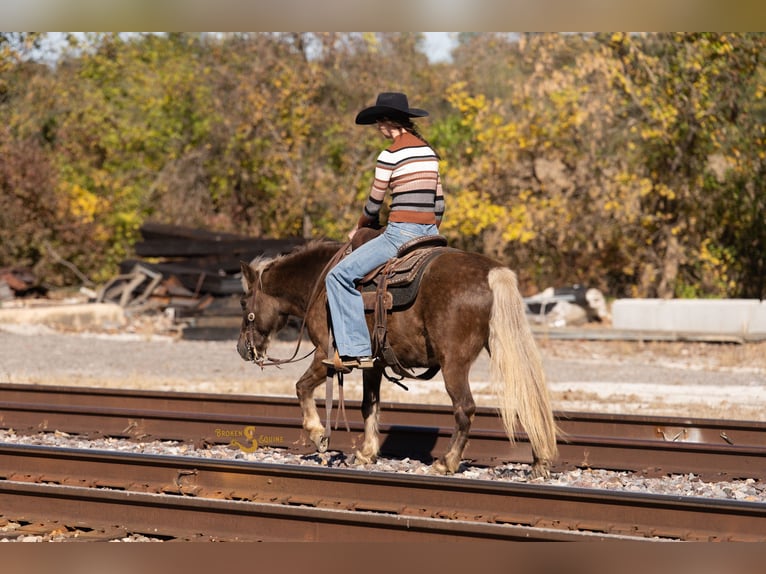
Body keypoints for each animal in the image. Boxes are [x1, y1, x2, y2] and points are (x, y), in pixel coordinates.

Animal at [237, 236, 558, 477]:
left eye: (243, 302)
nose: (242, 348)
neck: (320, 285)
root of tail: (493, 273)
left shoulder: (324, 354)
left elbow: (301, 387)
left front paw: (318, 435)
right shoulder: (372, 364)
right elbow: (369, 405)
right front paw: (366, 453)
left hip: (454, 363)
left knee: (465, 408)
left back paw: (447, 462)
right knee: (527, 398)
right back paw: (540, 461)